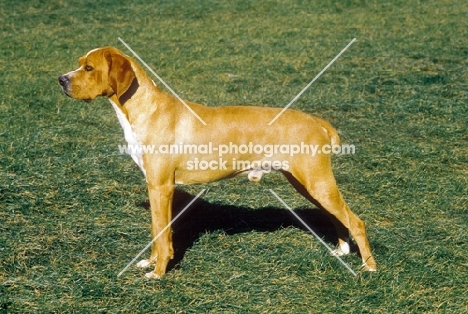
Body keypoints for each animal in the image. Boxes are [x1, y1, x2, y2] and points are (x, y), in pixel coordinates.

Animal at [58, 46, 374, 278]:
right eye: (79, 64)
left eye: (88, 68)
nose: (61, 79)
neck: (146, 109)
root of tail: (318, 121)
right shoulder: (156, 187)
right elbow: (156, 230)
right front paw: (150, 263)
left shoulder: (161, 187)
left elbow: (162, 235)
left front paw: (158, 273)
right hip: (307, 184)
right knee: (338, 217)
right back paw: (342, 251)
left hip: (316, 182)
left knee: (356, 221)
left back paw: (369, 266)